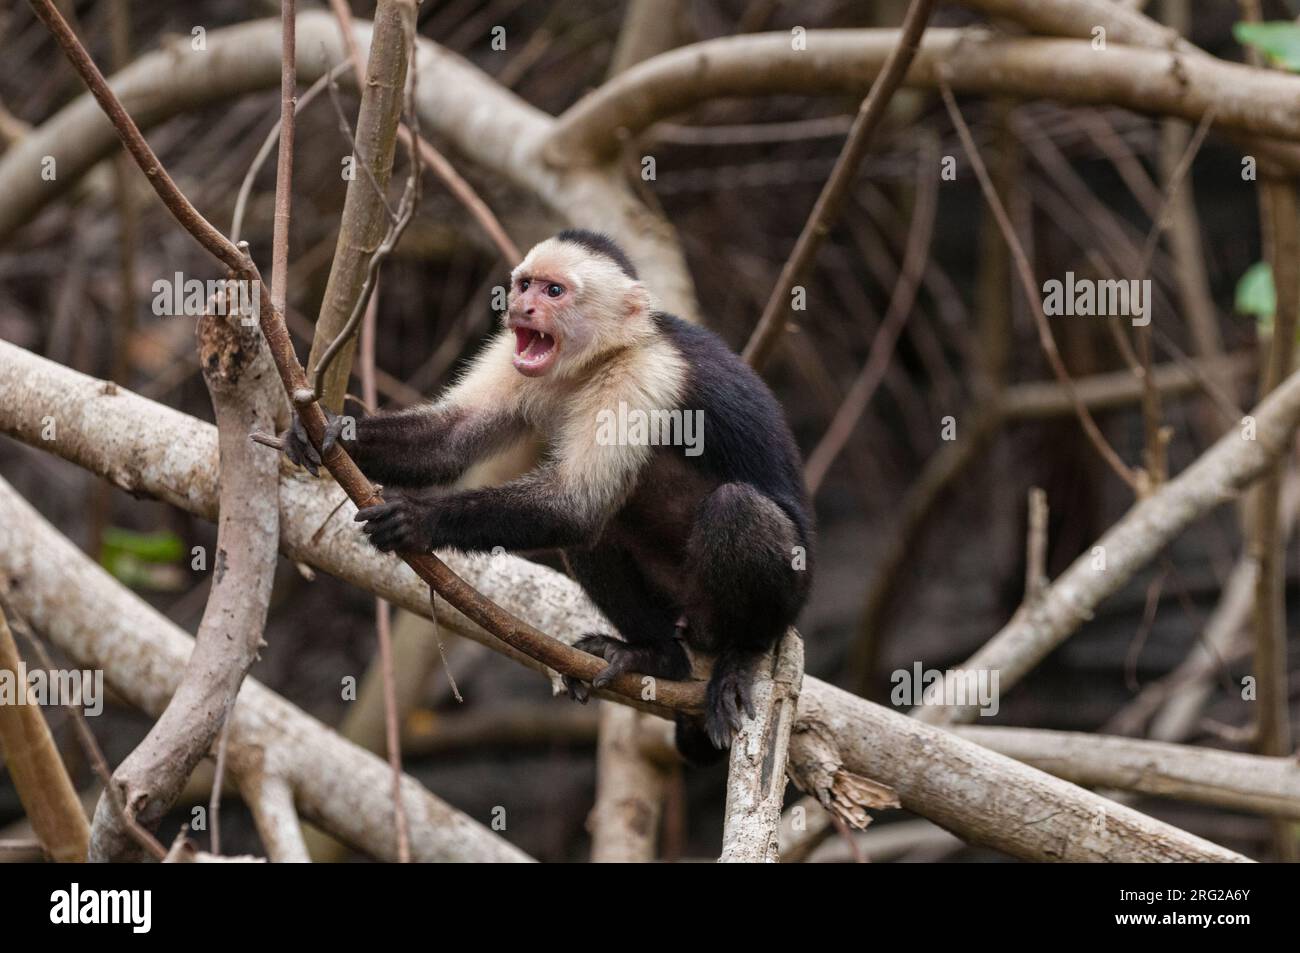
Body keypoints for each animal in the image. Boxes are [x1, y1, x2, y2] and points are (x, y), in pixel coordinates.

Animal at [283, 230, 811, 759]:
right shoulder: (513, 356)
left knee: (735, 509)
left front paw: (416, 519)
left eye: (554, 291)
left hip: (784, 596)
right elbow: (450, 442)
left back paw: (742, 653)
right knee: (604, 531)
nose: (522, 307)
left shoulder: (645, 375)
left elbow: (574, 506)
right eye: (525, 284)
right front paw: (330, 431)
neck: (599, 358)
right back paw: (658, 657)